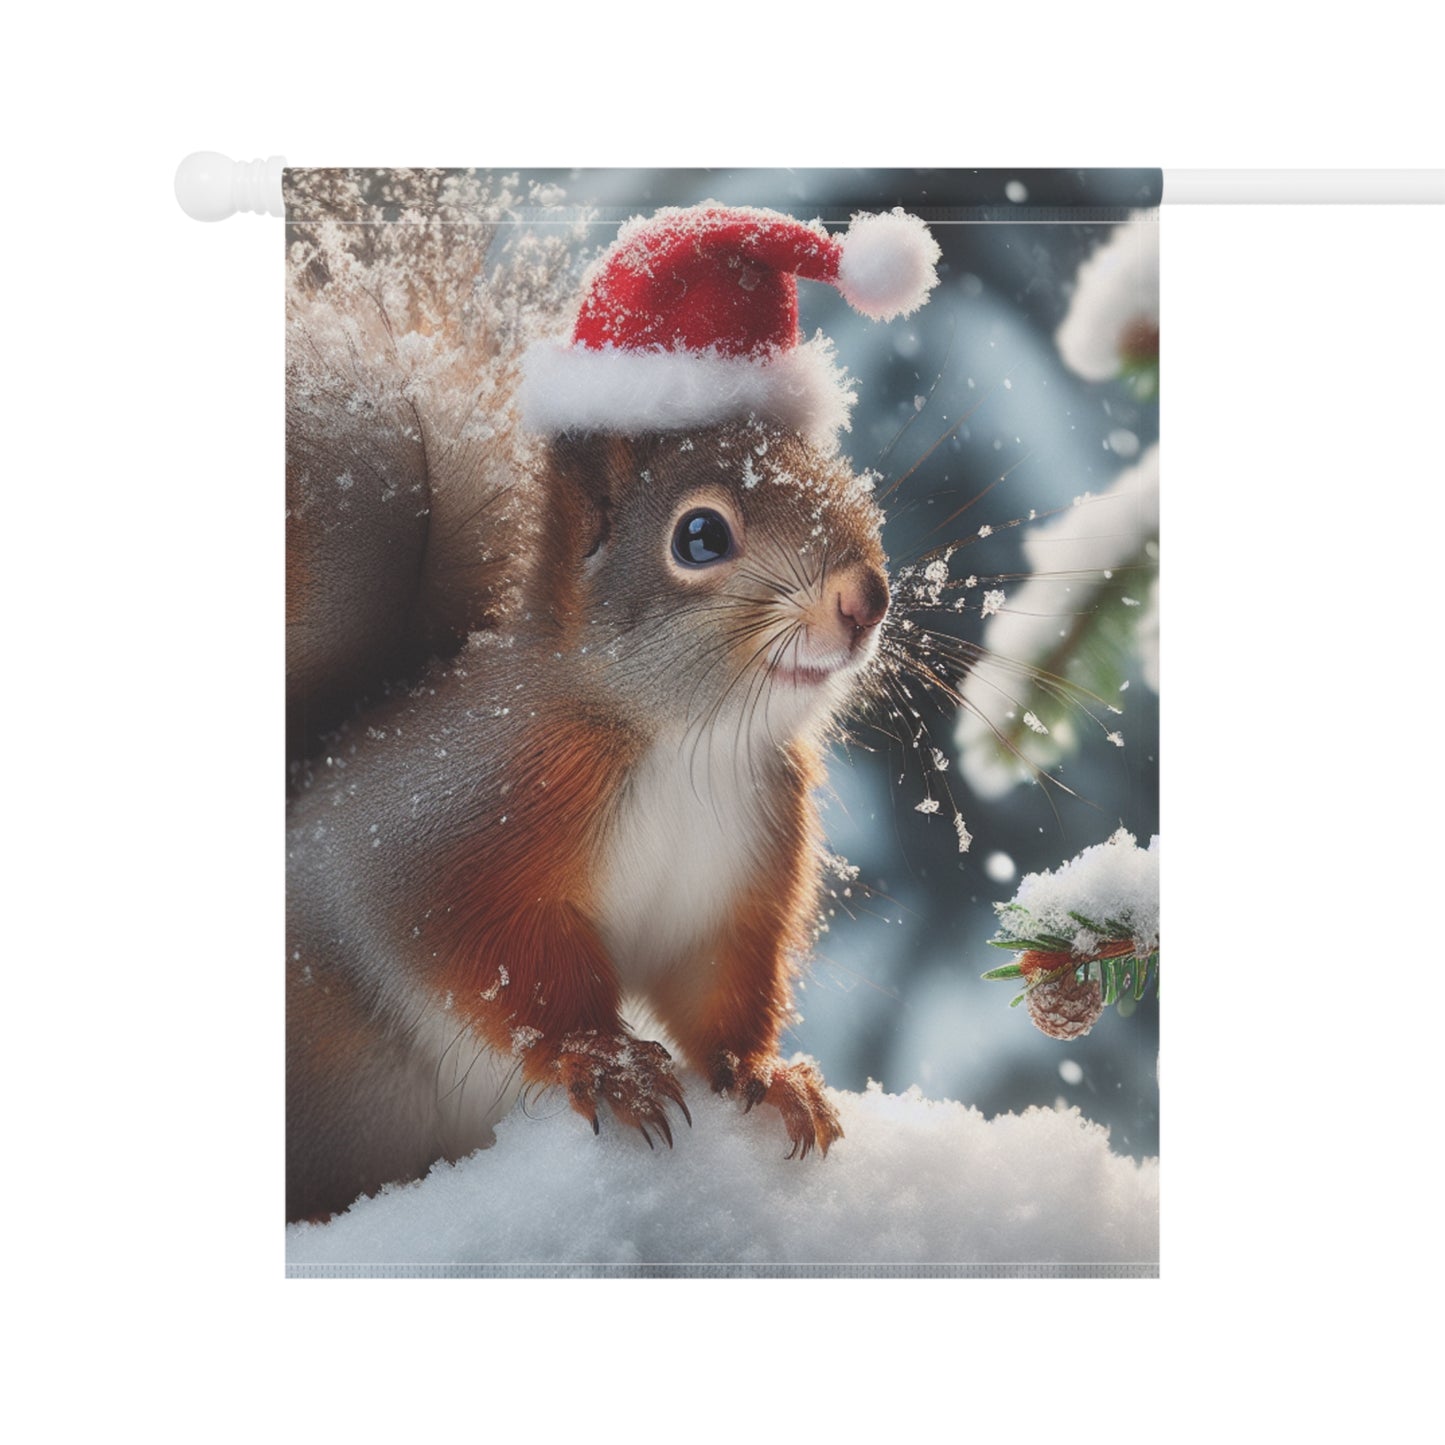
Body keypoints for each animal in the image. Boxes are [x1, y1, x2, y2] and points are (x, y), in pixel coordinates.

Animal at [285, 187, 942, 1223]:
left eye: (846, 491)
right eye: (701, 536)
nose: (865, 598)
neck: (685, 740)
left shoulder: (736, 875)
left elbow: (717, 986)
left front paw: (770, 1075)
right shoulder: (451, 837)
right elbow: (493, 968)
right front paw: (607, 1062)